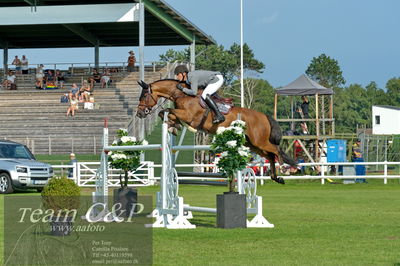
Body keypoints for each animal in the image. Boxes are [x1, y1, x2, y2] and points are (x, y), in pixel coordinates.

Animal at [136, 78, 296, 184]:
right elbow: (166, 113)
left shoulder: (189, 116)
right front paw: (173, 126)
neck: (182, 94)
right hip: (253, 145)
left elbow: (167, 111)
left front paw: (173, 125)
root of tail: (264, 116)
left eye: (144, 96)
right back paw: (277, 178)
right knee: (270, 156)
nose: (140, 114)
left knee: (276, 150)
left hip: (259, 141)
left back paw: (283, 167)